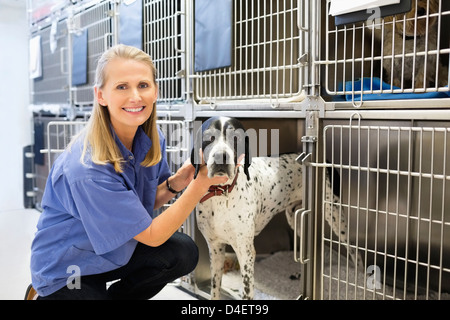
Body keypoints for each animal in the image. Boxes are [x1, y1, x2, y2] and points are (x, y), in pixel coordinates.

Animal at [192, 117, 360, 300]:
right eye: (209, 137)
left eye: (236, 138)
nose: (220, 157)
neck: (220, 194)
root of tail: (326, 162)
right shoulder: (215, 248)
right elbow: (215, 288)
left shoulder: (246, 252)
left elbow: (246, 290)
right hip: (296, 219)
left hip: (336, 216)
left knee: (355, 252)